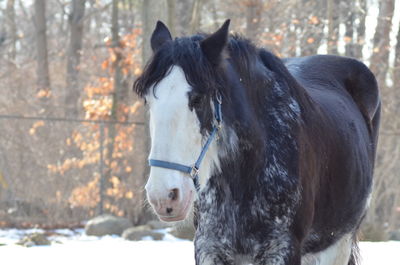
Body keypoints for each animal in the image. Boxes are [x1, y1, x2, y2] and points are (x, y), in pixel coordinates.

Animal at [132, 19, 382, 264]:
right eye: (148, 100)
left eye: (198, 99)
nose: (163, 196)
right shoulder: (209, 248)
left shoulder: (283, 249)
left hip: (338, 244)